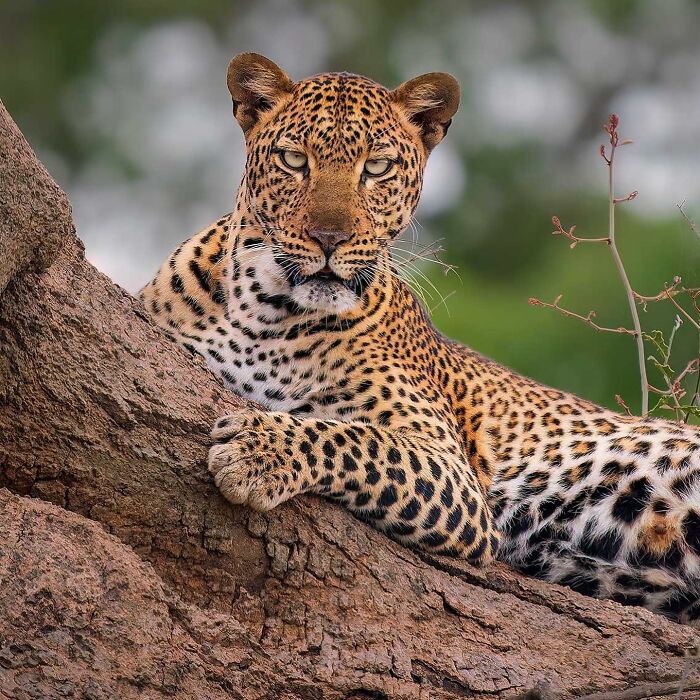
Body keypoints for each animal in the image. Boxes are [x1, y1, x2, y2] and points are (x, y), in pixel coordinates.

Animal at [140, 52, 700, 622]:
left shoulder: (451, 468)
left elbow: (354, 439)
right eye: (295, 160)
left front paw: (257, 451)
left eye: (377, 168)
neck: (265, 311)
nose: (329, 238)